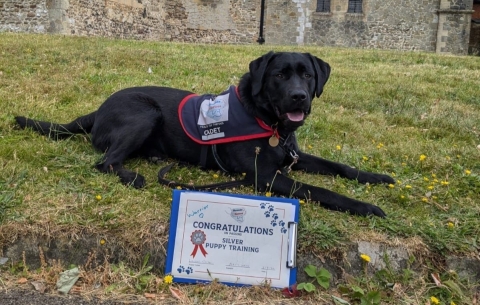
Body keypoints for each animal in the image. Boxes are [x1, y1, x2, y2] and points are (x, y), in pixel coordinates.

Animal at [15, 51, 394, 216]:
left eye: (308, 75)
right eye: (280, 76)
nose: (300, 96)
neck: (267, 121)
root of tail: (97, 109)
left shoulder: (292, 157)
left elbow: (338, 167)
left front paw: (375, 178)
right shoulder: (263, 175)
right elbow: (319, 190)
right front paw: (364, 206)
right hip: (144, 113)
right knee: (106, 161)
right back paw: (133, 176)